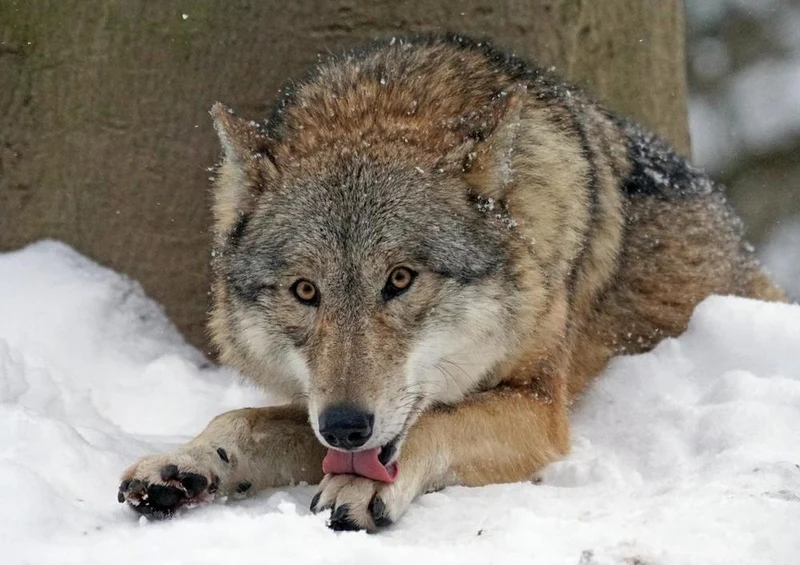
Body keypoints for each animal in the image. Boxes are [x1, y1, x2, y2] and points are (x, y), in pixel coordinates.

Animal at [118, 34, 784, 531]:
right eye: (305, 291)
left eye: (400, 279)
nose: (345, 427)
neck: (384, 106)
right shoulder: (316, 407)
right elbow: (240, 419)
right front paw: (183, 463)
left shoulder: (540, 407)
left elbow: (436, 422)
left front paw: (355, 485)